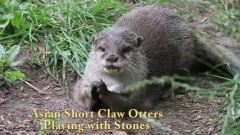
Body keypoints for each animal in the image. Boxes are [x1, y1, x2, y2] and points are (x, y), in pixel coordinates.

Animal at [73, 5, 204, 112]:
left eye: (125, 49)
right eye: (102, 48)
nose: (112, 57)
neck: (112, 83)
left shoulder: (139, 85)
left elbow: (129, 102)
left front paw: (104, 91)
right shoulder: (86, 81)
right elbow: (82, 98)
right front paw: (92, 89)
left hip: (184, 56)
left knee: (182, 77)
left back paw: (167, 91)